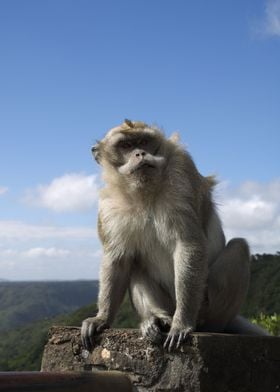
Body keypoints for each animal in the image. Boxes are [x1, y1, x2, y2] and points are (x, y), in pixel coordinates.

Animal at [81, 119, 270, 352]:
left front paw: (182, 323)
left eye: (144, 141)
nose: (140, 153)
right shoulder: (109, 208)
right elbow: (118, 258)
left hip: (206, 303)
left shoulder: (182, 171)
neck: (144, 193)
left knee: (238, 248)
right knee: (135, 262)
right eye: (126, 145)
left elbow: (188, 244)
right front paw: (102, 318)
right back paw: (156, 319)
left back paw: (204, 324)